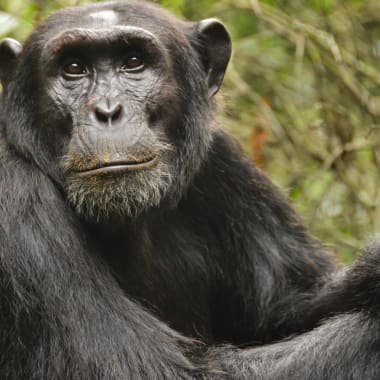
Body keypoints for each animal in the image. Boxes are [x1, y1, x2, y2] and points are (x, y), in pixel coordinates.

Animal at [2, 0, 380, 380]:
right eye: (74, 68)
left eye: (134, 62)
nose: (107, 111)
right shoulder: (16, 198)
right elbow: (142, 366)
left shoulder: (226, 164)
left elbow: (288, 307)